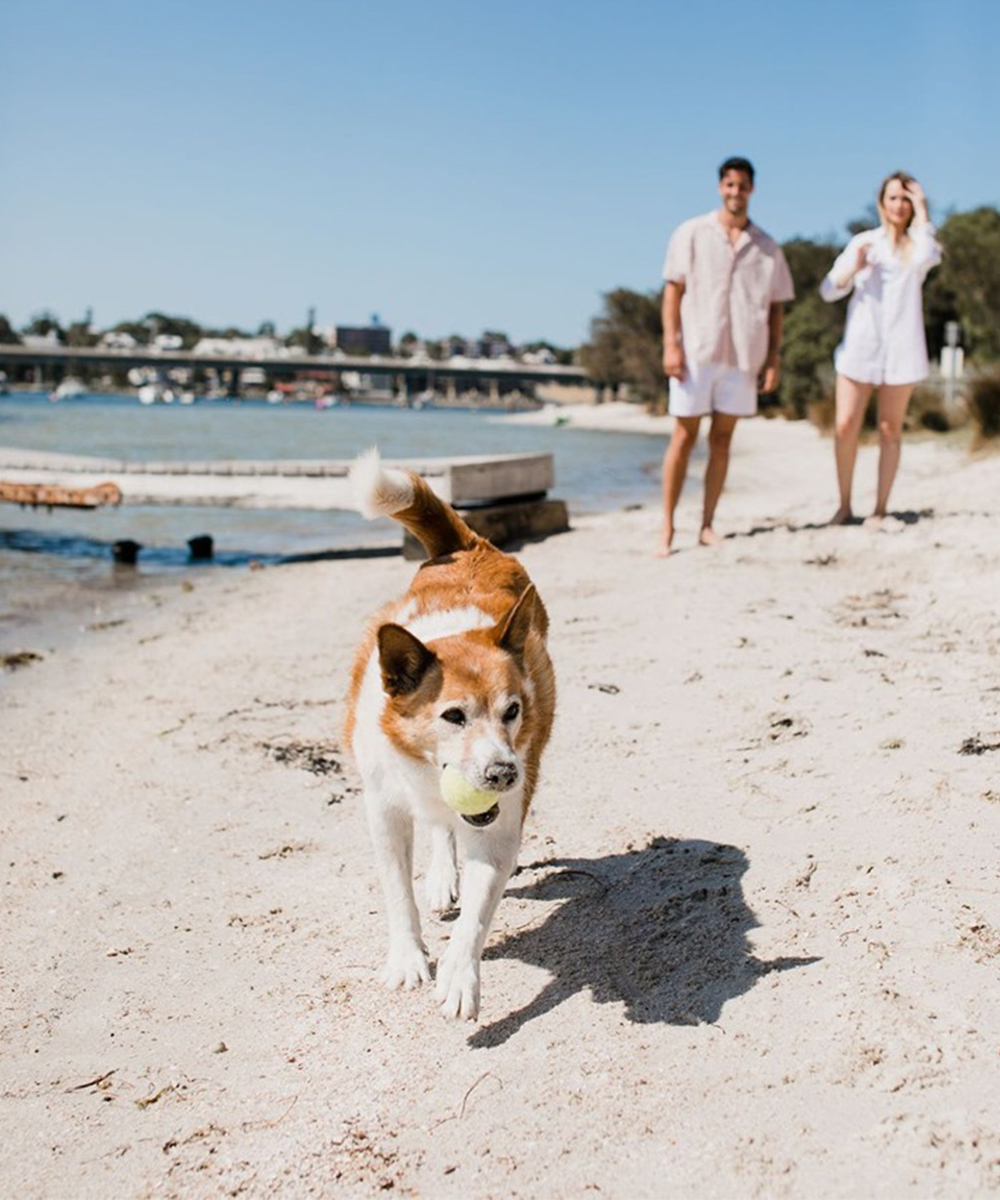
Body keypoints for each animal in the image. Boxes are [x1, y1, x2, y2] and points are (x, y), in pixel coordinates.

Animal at [345, 451, 557, 1022]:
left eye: (512, 710)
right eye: (453, 716)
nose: (503, 773)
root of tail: (469, 547)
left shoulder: (499, 826)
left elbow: (478, 913)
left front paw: (461, 976)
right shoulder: (383, 810)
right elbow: (398, 890)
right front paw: (408, 959)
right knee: (439, 826)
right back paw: (442, 876)